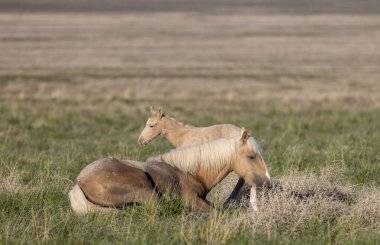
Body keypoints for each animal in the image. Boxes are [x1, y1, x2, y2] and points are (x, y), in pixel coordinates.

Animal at [68, 129, 270, 213]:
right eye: (251, 157)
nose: (266, 183)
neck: (189, 172)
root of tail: (78, 182)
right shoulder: (193, 201)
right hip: (147, 190)